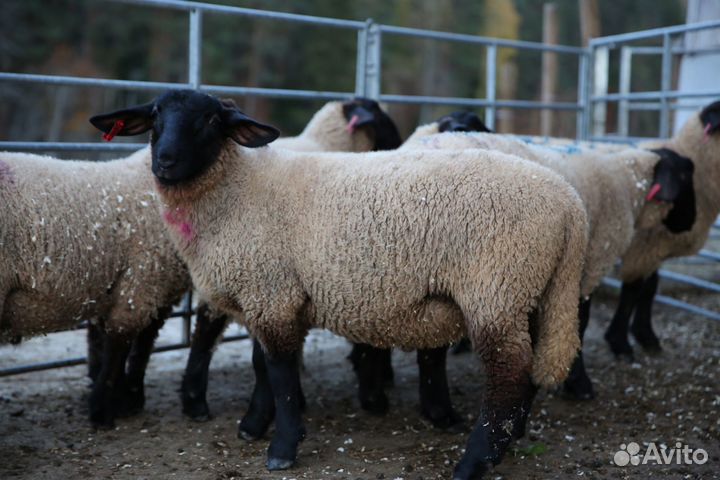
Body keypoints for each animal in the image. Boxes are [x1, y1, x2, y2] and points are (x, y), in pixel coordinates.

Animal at [0, 148, 190, 426]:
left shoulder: (116, 291)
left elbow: (110, 345)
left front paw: (119, 401)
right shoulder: (145, 283)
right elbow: (127, 347)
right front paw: (106, 411)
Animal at [400, 129, 692, 400]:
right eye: (685, 177)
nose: (688, 223)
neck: (626, 182)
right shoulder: (591, 261)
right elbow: (581, 320)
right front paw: (579, 382)